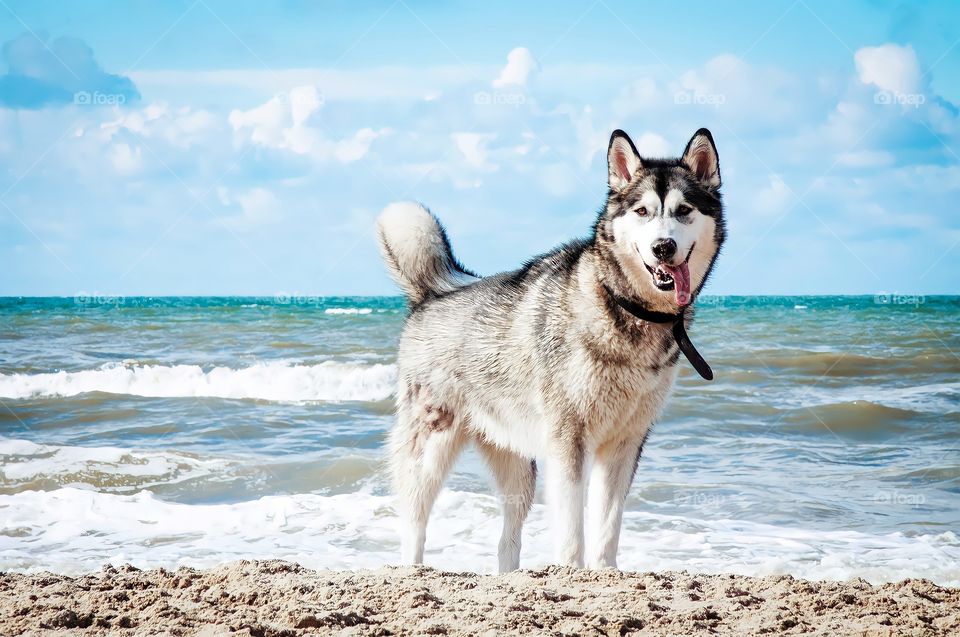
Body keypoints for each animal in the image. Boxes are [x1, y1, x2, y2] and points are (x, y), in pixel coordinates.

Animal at [378, 126, 724, 568]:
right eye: (643, 212)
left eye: (683, 211)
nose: (663, 247)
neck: (623, 306)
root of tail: (434, 292)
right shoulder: (568, 439)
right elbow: (573, 525)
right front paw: (572, 570)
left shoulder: (626, 442)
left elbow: (608, 524)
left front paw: (605, 571)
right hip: (430, 449)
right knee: (415, 521)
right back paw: (413, 566)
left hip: (517, 464)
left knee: (508, 538)